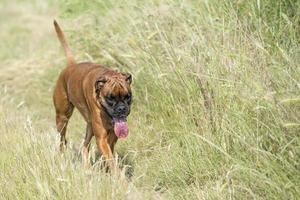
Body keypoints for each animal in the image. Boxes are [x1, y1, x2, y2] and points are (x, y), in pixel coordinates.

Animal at [52, 20, 132, 170]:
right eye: (110, 98)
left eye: (128, 96)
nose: (121, 109)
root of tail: (71, 66)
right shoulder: (102, 138)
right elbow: (111, 162)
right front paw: (117, 176)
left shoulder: (111, 137)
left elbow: (109, 157)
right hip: (62, 118)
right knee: (62, 140)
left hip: (89, 125)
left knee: (84, 146)